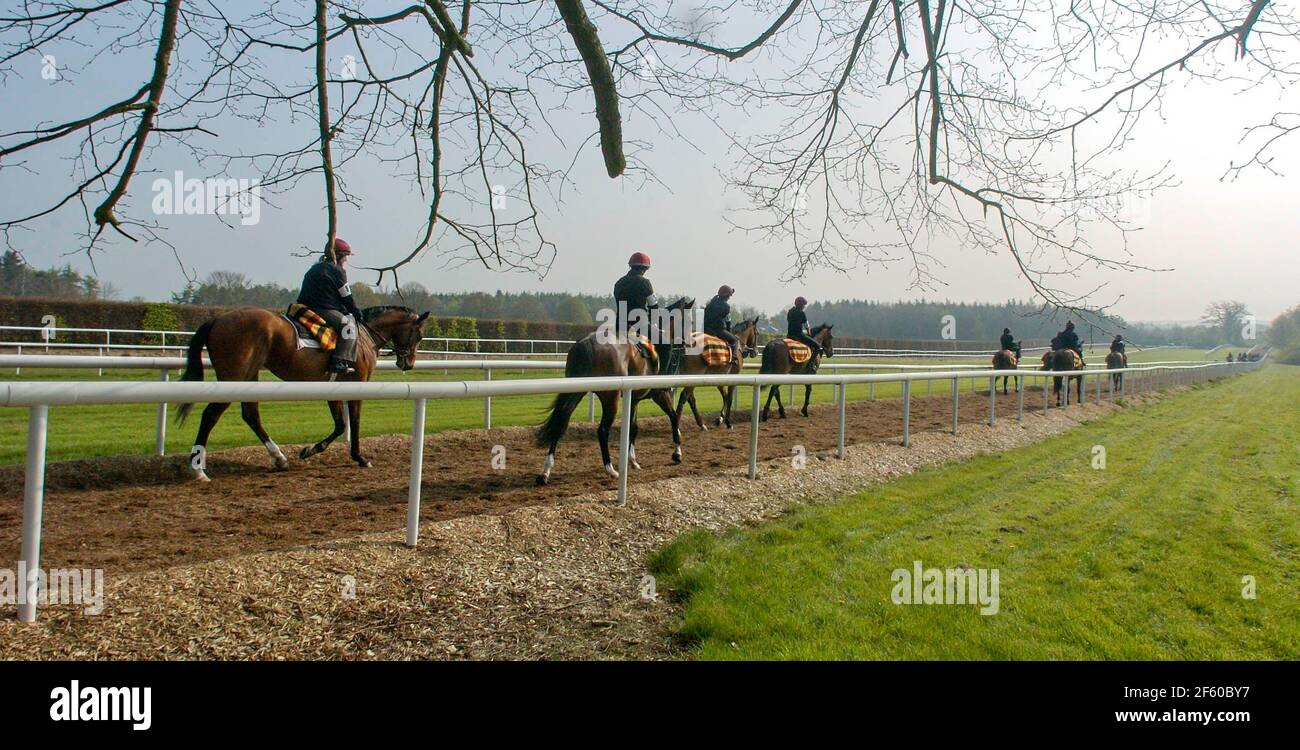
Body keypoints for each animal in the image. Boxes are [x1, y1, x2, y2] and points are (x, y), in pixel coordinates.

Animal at [175, 304, 428, 478]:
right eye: (419, 335)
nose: (408, 363)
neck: (365, 335)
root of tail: (217, 319)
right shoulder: (356, 386)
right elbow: (352, 423)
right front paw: (359, 457)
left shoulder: (333, 387)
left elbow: (340, 424)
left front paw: (310, 450)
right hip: (234, 377)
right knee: (211, 415)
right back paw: (198, 469)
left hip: (249, 375)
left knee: (251, 414)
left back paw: (279, 458)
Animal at [530, 295, 691, 483]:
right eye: (689, 320)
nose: (688, 344)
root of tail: (587, 343)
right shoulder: (659, 394)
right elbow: (673, 417)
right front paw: (677, 453)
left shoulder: (633, 398)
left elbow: (633, 427)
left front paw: (633, 461)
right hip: (610, 397)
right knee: (602, 430)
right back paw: (611, 469)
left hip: (576, 391)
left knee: (560, 422)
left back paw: (545, 472)